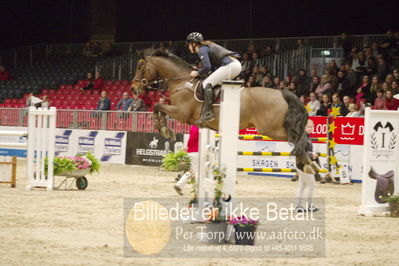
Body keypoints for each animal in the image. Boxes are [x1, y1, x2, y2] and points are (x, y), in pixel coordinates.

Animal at [133, 48, 314, 171]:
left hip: (270, 129)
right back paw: (310, 166)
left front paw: (163, 129)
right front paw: (165, 130)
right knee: (302, 138)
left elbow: (157, 106)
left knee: (298, 137)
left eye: (140, 66)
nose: (134, 88)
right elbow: (159, 109)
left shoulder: (180, 112)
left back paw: (307, 164)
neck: (183, 81)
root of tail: (282, 92)